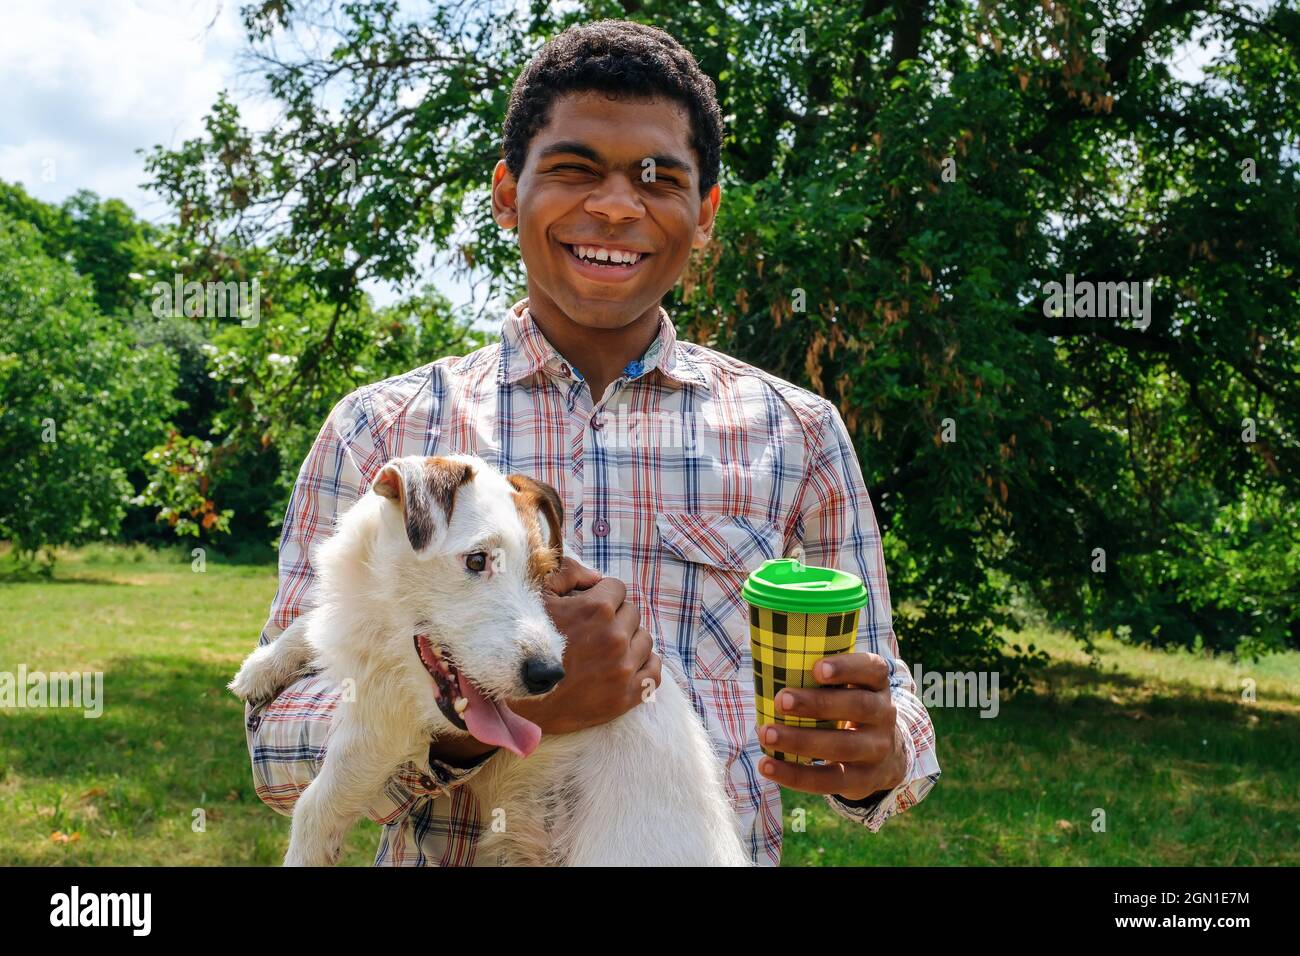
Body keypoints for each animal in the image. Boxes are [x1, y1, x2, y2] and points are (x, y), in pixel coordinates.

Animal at [228, 455, 748, 868]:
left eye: (543, 574)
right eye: (477, 561)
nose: (549, 675)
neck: (381, 608)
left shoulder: (380, 725)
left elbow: (318, 804)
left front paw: (307, 853)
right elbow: (310, 622)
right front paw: (263, 665)